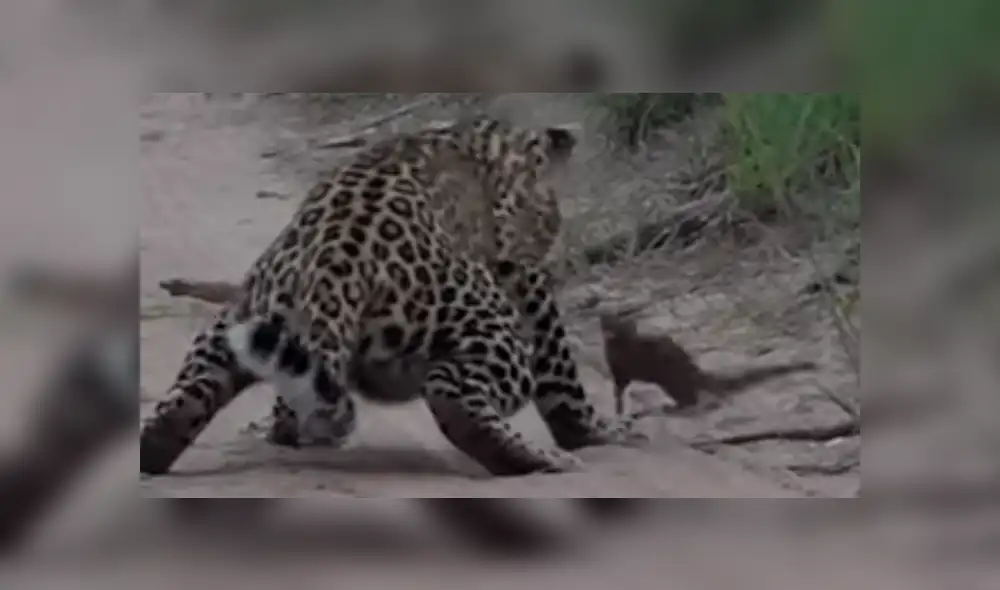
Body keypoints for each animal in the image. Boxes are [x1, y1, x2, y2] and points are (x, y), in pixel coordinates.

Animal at [139, 115, 644, 478]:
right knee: (454, 396)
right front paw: (598, 433)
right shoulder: (524, 274)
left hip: (237, 322)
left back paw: (153, 449)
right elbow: (560, 370)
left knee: (185, 397)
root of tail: (332, 266)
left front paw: (284, 424)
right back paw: (539, 460)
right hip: (486, 322)